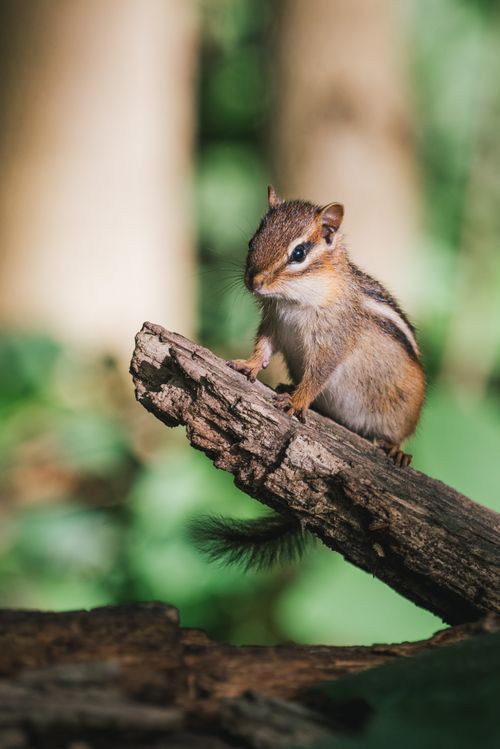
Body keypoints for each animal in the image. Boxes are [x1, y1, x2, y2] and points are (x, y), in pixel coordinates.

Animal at [190, 185, 425, 571]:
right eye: (253, 239)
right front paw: (248, 366)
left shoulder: (332, 342)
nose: (254, 281)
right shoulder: (274, 324)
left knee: (397, 434)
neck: (293, 301)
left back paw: (395, 450)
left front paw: (297, 401)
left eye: (298, 253)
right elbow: (264, 349)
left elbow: (318, 376)